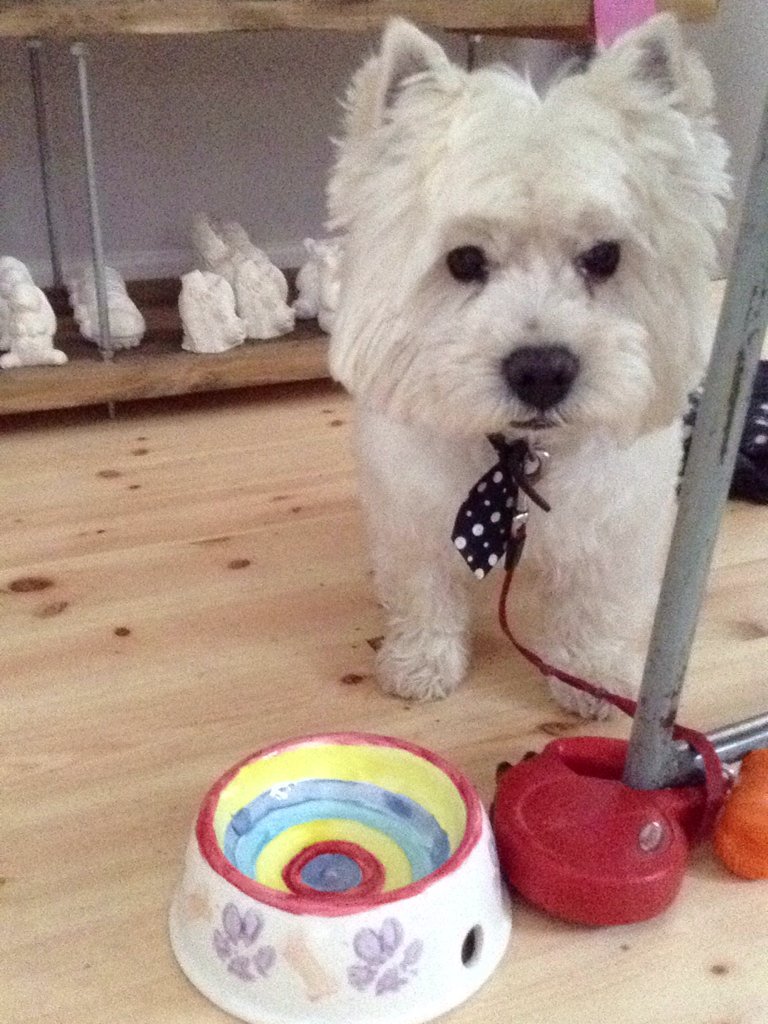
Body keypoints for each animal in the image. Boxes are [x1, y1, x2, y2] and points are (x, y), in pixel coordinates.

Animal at [327, 18, 729, 720]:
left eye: (603, 256)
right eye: (463, 260)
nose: (542, 372)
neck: (522, 456)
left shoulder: (614, 526)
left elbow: (597, 605)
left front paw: (592, 676)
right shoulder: (412, 513)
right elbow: (423, 589)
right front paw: (421, 663)